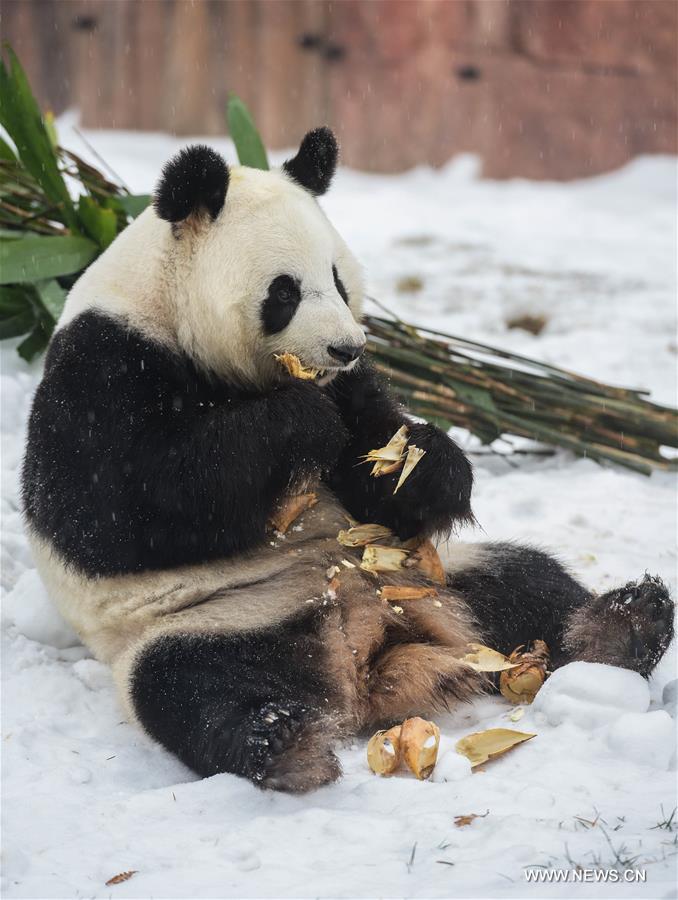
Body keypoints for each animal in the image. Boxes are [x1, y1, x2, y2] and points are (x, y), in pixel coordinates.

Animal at [21, 130, 676, 792]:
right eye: (284, 292)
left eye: (338, 281)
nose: (346, 346)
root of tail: (371, 648)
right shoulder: (104, 364)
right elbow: (115, 510)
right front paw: (298, 421)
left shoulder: (356, 389)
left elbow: (379, 472)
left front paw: (426, 463)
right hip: (215, 618)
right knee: (194, 683)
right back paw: (286, 741)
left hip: (436, 576)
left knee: (529, 584)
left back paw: (628, 623)